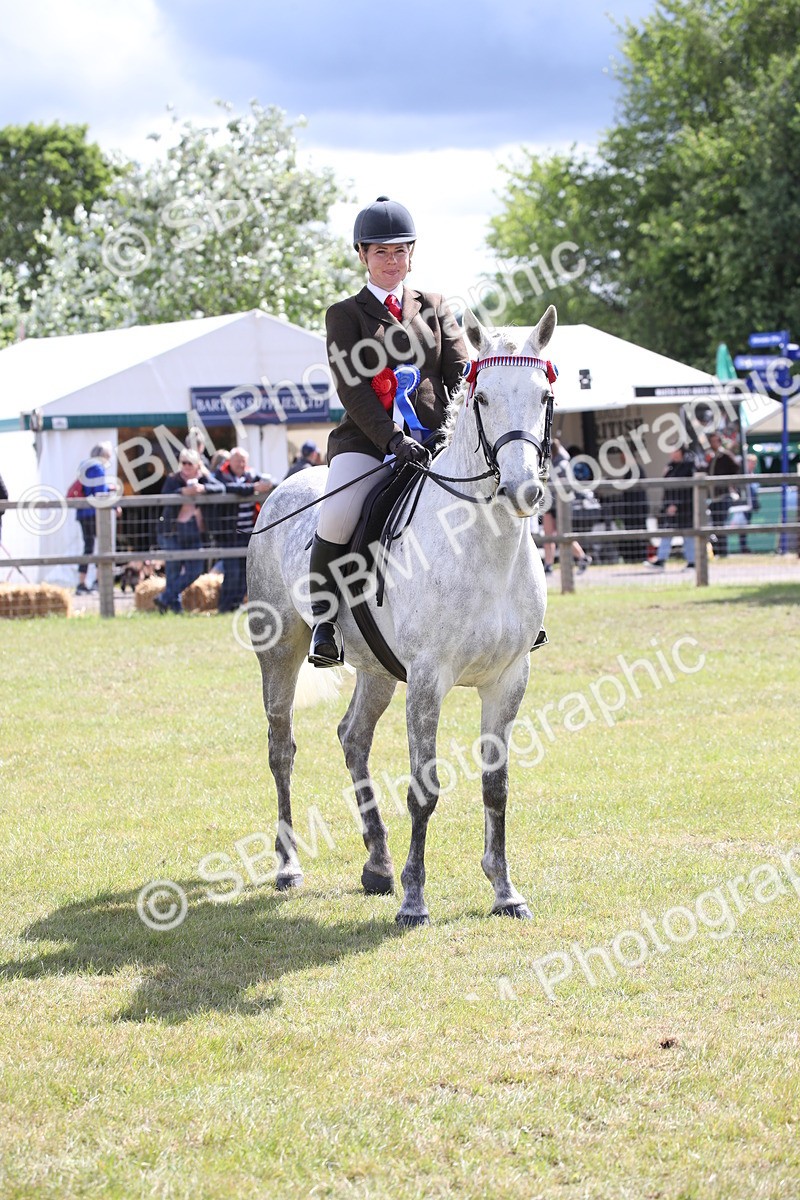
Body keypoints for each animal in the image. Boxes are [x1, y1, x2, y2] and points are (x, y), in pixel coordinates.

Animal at [246, 304, 557, 925]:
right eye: (483, 397)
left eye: (543, 396)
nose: (522, 490)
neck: (482, 547)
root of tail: (281, 490)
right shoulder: (429, 679)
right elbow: (424, 788)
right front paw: (415, 900)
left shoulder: (509, 678)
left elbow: (496, 787)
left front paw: (504, 891)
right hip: (281, 652)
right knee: (281, 748)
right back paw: (290, 866)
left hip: (377, 670)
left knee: (352, 738)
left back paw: (378, 865)